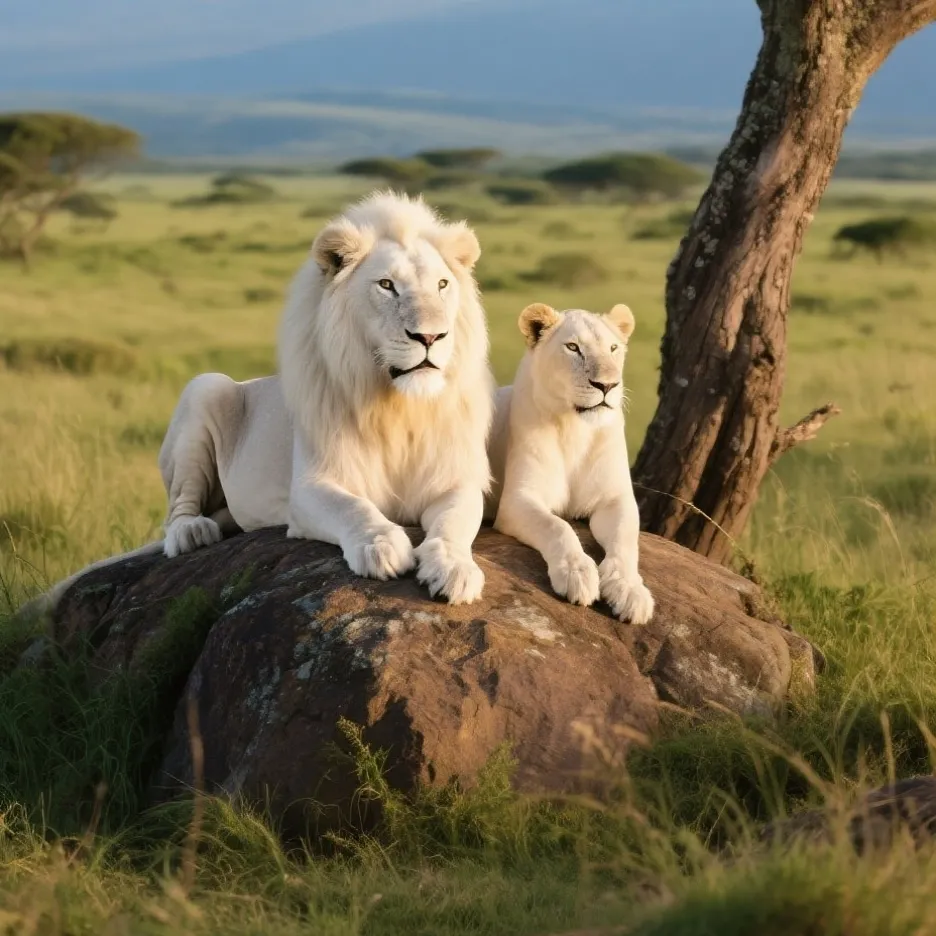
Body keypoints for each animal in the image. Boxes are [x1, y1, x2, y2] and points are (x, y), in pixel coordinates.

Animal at [23, 191, 495, 618]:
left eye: (442, 285)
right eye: (387, 285)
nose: (431, 337)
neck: (400, 406)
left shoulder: (455, 481)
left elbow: (455, 522)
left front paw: (455, 570)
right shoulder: (309, 488)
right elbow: (354, 507)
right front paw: (382, 545)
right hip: (206, 388)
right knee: (177, 510)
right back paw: (193, 532)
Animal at [485, 302, 655, 625]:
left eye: (613, 348)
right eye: (573, 347)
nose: (607, 385)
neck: (577, 428)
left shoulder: (615, 499)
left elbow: (626, 540)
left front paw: (629, 590)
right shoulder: (517, 500)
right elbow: (557, 526)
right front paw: (578, 574)